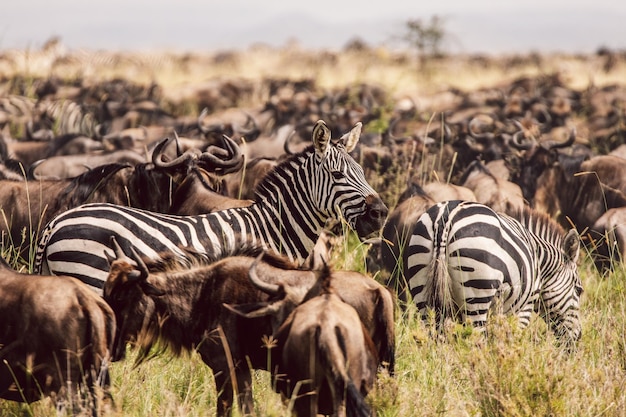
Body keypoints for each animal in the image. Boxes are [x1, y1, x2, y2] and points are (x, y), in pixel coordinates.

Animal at [34, 120, 388, 292]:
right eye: (338, 175)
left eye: (363, 171)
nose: (380, 214)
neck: (273, 228)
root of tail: (57, 221)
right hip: (91, 275)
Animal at [400, 200, 580, 342]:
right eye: (579, 290)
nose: (578, 337)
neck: (541, 263)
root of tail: (446, 215)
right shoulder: (524, 307)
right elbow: (510, 341)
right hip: (477, 293)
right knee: (476, 340)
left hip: (423, 292)